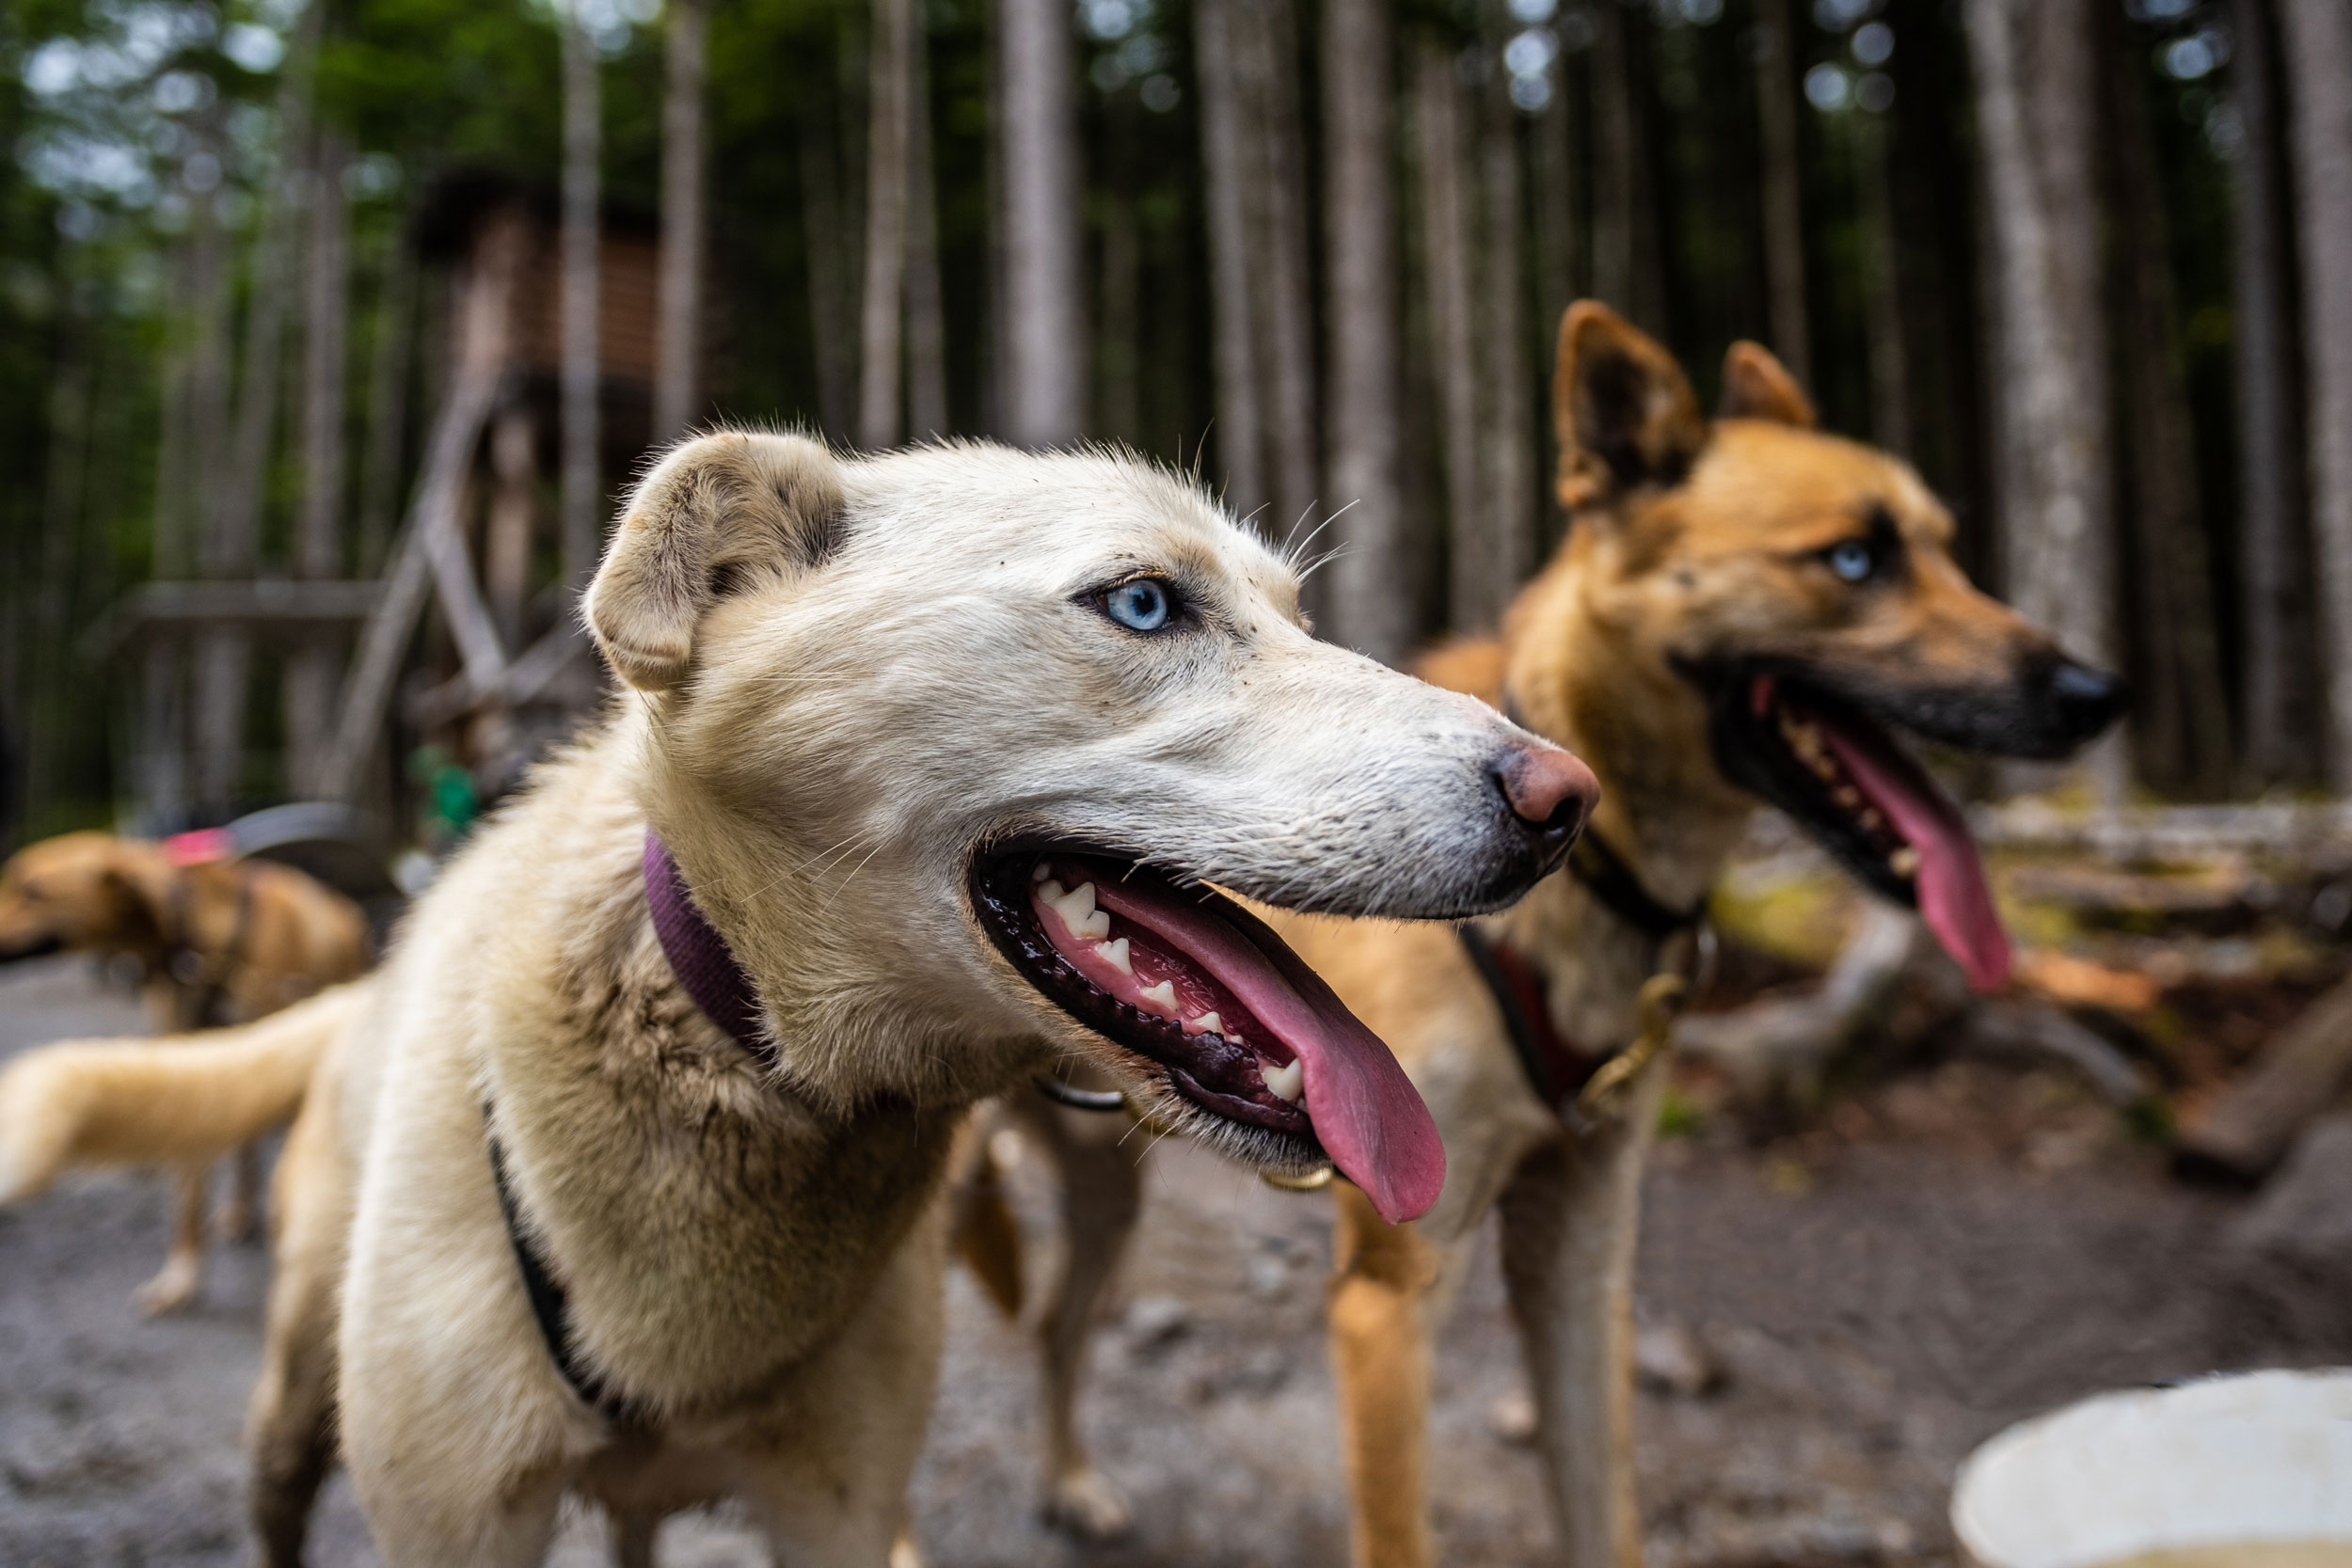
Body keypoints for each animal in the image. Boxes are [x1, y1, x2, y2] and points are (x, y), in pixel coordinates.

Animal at [0, 832, 369, 1316]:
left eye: (32, 891)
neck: (205, 943)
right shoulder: (196, 1064)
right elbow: (190, 1189)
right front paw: (181, 1280)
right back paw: (243, 1211)